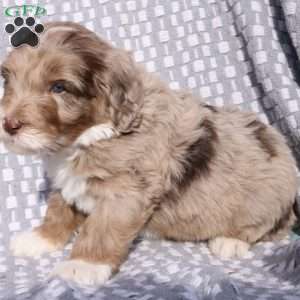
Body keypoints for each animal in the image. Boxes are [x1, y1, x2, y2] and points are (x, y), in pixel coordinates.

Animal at [0, 22, 298, 284]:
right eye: (8, 80)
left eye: (59, 87)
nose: (8, 124)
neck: (88, 137)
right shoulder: (67, 183)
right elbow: (57, 211)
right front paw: (39, 238)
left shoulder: (126, 193)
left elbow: (101, 229)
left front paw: (83, 265)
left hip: (268, 198)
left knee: (270, 227)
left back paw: (230, 241)